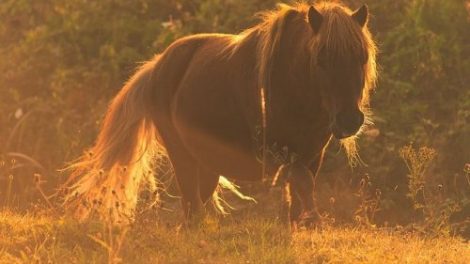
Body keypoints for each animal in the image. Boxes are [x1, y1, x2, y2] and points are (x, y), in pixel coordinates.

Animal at [63, 1, 378, 227]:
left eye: (361, 57)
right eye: (321, 58)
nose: (350, 120)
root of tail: (157, 65)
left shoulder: (312, 153)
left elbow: (300, 193)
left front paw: (304, 225)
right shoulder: (287, 151)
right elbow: (302, 186)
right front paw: (314, 221)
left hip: (207, 163)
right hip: (182, 156)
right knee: (191, 206)